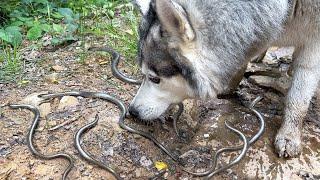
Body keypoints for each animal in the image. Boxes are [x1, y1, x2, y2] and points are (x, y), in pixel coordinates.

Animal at [129, 0, 320, 158]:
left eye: (154, 79)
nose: (132, 111)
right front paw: (230, 85)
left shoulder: (313, 43)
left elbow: (298, 100)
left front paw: (289, 134)